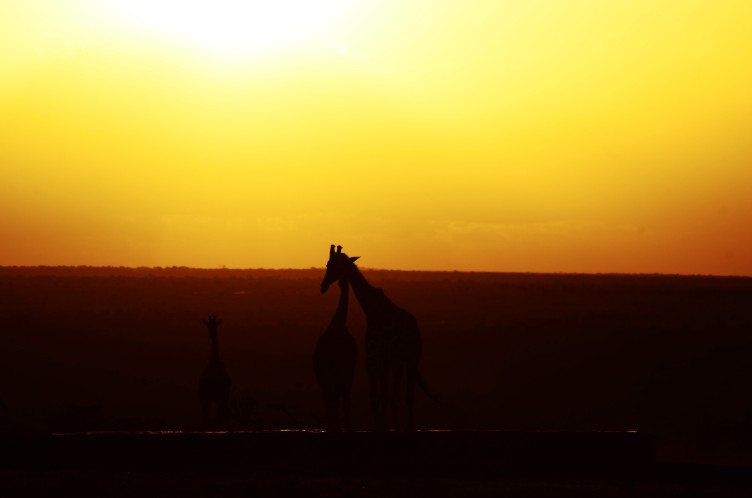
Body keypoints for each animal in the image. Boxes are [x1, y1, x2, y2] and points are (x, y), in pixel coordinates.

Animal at [320, 244, 436, 431]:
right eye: (328, 264)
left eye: (336, 265)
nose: (323, 287)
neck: (373, 312)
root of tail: (415, 325)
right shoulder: (373, 359)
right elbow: (376, 397)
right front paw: (379, 425)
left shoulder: (396, 358)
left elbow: (395, 398)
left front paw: (395, 427)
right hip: (388, 363)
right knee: (387, 394)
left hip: (412, 358)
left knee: (408, 394)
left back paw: (410, 426)